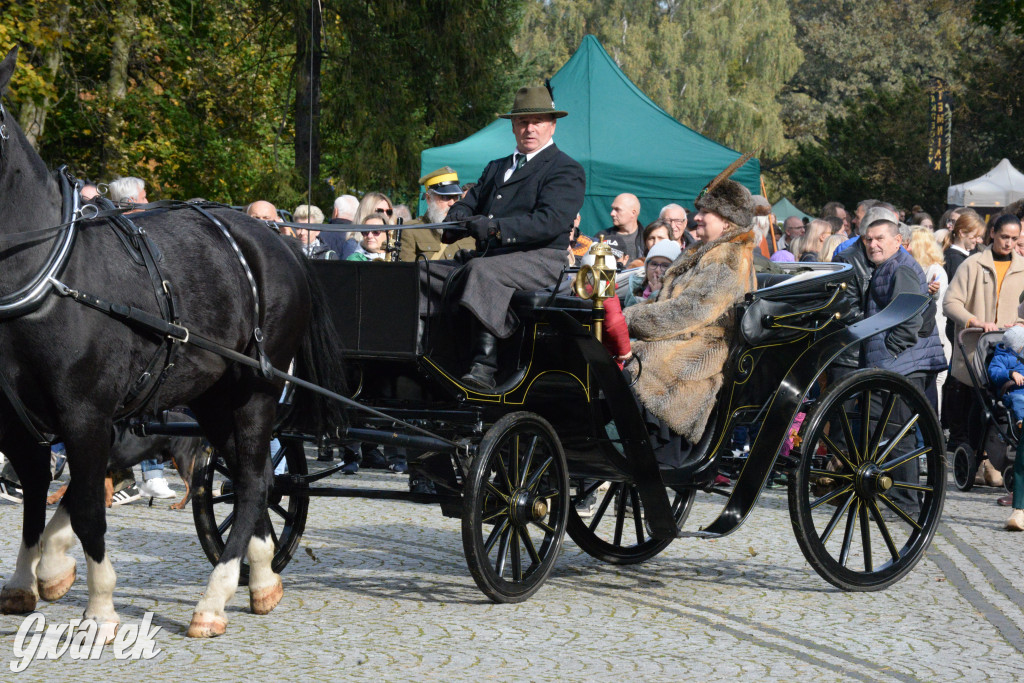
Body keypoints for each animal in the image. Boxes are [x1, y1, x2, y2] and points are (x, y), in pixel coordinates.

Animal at [0, 49, 346, 643]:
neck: (47, 274)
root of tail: (279, 241)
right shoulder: (20, 420)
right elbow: (40, 493)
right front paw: (31, 578)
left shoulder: (84, 413)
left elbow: (87, 507)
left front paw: (100, 610)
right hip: (212, 397)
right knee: (252, 477)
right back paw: (261, 579)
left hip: (257, 391)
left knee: (253, 481)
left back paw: (214, 598)